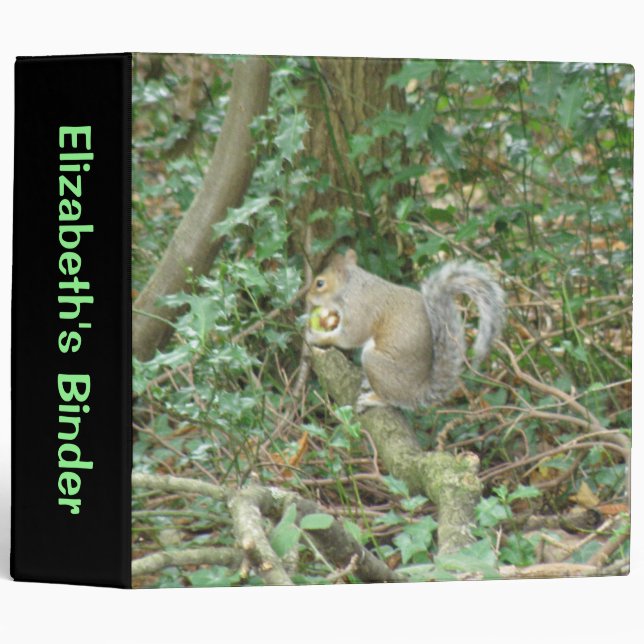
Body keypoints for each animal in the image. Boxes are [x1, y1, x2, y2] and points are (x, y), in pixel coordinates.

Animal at [306, 249, 505, 411]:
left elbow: (349, 337)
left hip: (375, 363)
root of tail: (416, 392)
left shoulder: (360, 310)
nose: (307, 297)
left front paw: (317, 337)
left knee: (391, 400)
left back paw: (373, 399)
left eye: (320, 283)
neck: (352, 287)